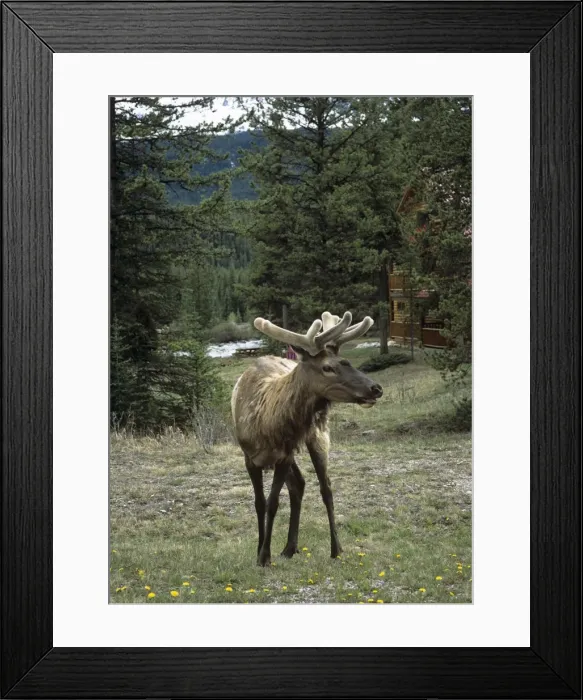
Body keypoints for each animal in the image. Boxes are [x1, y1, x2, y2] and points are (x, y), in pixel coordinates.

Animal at [231, 311, 383, 566]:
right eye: (327, 367)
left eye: (347, 362)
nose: (376, 388)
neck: (267, 425)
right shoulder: (249, 457)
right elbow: (259, 503)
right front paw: (260, 551)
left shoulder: (283, 456)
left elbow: (272, 503)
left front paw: (265, 555)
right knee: (299, 484)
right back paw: (289, 547)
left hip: (318, 436)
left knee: (326, 488)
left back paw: (336, 549)